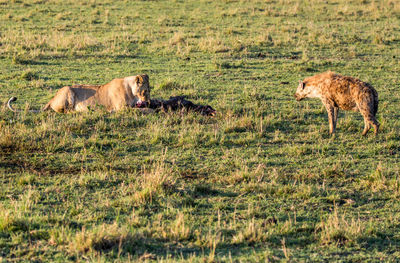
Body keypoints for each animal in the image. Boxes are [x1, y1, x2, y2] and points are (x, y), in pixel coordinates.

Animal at [7, 75, 152, 114]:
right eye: (145, 91)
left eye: (150, 90)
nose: (149, 101)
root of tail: (51, 99)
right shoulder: (121, 108)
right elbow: (143, 110)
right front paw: (150, 109)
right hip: (68, 91)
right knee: (65, 111)